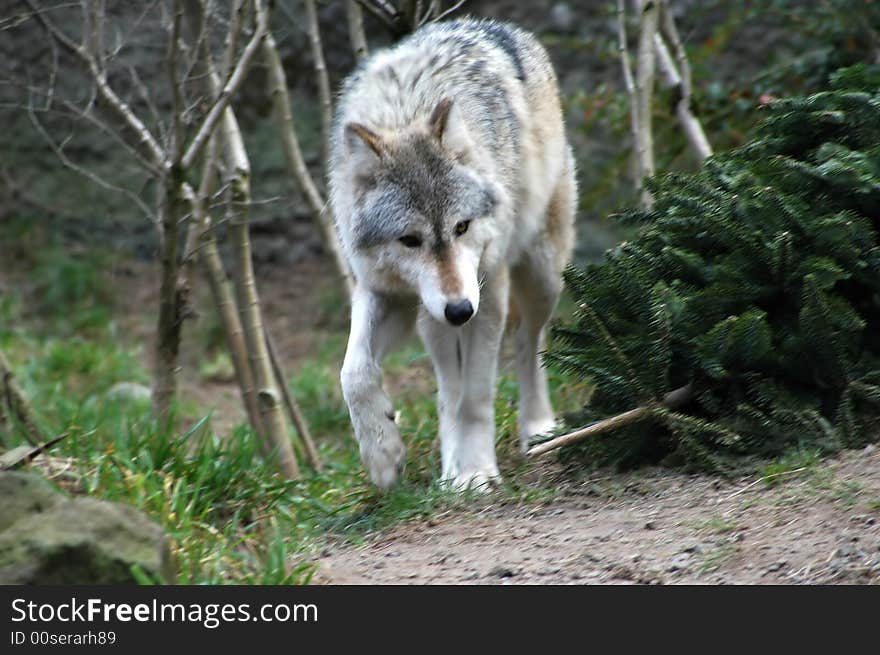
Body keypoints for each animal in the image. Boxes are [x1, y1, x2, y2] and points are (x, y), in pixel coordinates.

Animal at [330, 16, 576, 492]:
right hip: (432, 319)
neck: (405, 108)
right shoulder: (384, 292)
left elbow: (475, 396)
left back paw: (537, 428)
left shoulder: (487, 293)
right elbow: (354, 373)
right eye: (410, 240)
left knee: (528, 342)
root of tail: (503, 27)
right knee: (446, 389)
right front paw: (383, 456)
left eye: (462, 227)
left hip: (540, 275)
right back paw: (448, 468)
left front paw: (476, 470)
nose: (460, 309)